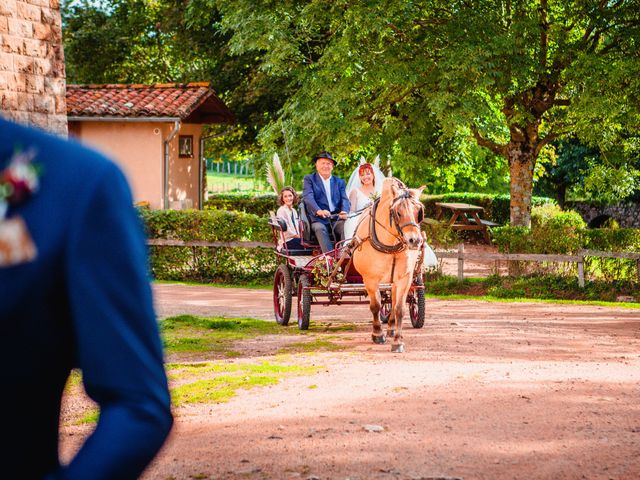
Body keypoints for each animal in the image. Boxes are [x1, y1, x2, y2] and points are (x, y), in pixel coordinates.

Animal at [350, 176, 424, 352]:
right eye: (398, 212)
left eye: (419, 212)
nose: (415, 240)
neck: (390, 244)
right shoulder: (370, 279)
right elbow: (375, 305)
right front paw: (377, 334)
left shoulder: (405, 278)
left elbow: (399, 309)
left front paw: (398, 341)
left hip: (394, 281)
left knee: (392, 300)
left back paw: (391, 328)